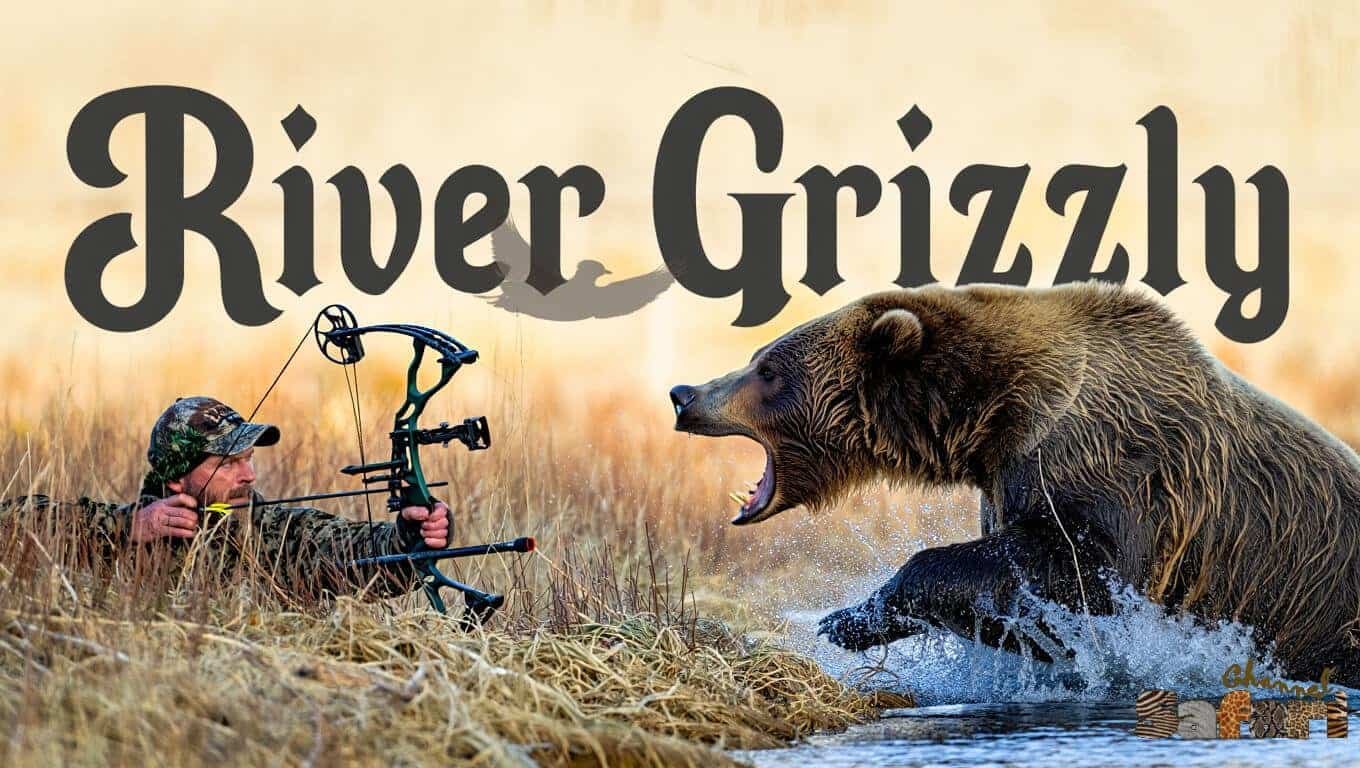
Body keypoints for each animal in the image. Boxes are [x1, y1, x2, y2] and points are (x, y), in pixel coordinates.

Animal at [668, 282, 1360, 686]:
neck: (995, 420)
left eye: (768, 369)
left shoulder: (1121, 477)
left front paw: (847, 615)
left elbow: (1075, 571)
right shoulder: (1005, 482)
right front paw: (854, 618)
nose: (685, 393)